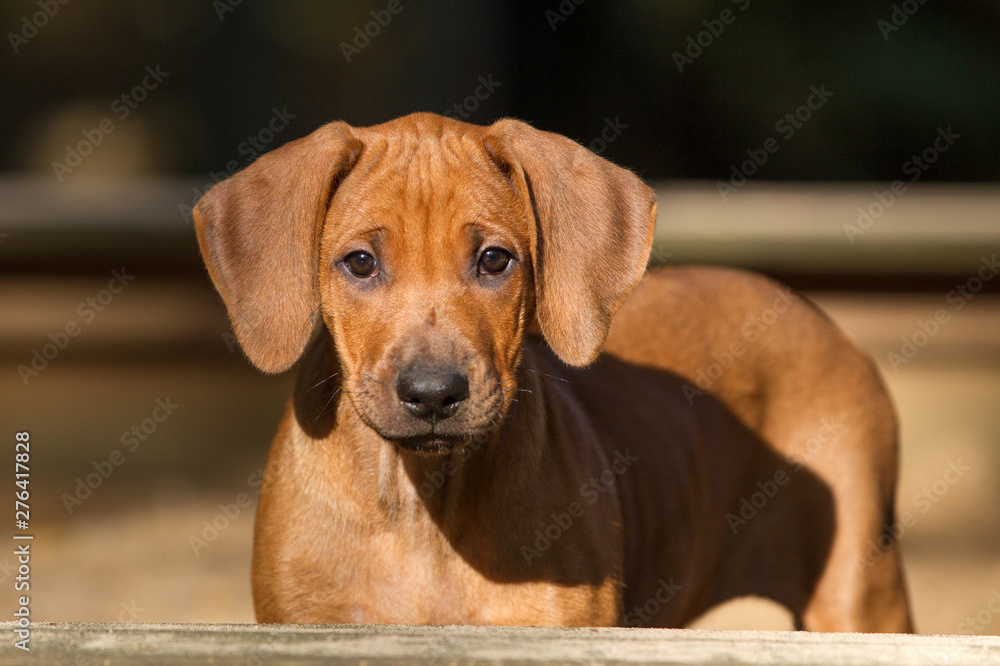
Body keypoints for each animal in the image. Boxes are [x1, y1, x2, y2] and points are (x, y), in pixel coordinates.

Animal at [193, 111, 916, 632]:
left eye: (494, 260)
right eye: (360, 263)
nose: (433, 394)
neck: (421, 508)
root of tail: (808, 310)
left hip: (861, 590)